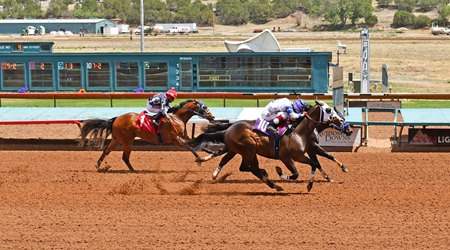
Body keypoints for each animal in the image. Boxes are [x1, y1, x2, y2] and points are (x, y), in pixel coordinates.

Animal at [79, 99, 214, 172]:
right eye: (204, 107)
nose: (212, 117)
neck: (176, 117)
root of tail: (116, 118)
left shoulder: (184, 136)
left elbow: (198, 144)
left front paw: (210, 152)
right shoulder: (175, 139)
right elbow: (190, 147)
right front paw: (200, 159)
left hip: (117, 139)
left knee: (107, 150)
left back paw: (98, 165)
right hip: (127, 141)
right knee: (125, 157)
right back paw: (134, 171)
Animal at [190, 100, 342, 192]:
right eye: (329, 110)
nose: (341, 120)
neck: (298, 132)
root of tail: (228, 129)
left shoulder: (300, 155)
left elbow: (314, 164)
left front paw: (310, 185)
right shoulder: (287, 157)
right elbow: (295, 174)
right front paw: (280, 173)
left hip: (248, 152)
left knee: (248, 167)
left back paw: (272, 183)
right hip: (249, 148)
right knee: (244, 167)